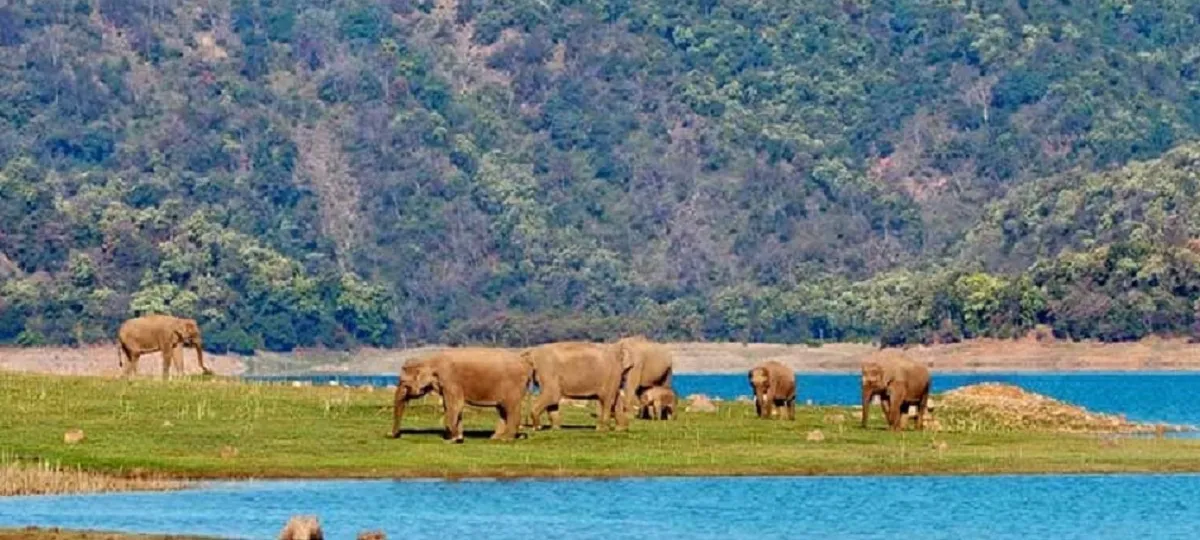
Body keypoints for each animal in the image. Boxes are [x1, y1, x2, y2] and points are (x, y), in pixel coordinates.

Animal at [391, 345, 532, 444]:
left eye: (403, 382)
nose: (392, 435)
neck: (429, 360)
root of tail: (526, 364)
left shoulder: (450, 380)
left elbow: (455, 405)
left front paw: (453, 439)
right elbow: (450, 406)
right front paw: (456, 436)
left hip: (513, 386)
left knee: (511, 408)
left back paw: (506, 439)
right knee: (502, 410)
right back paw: (495, 438)